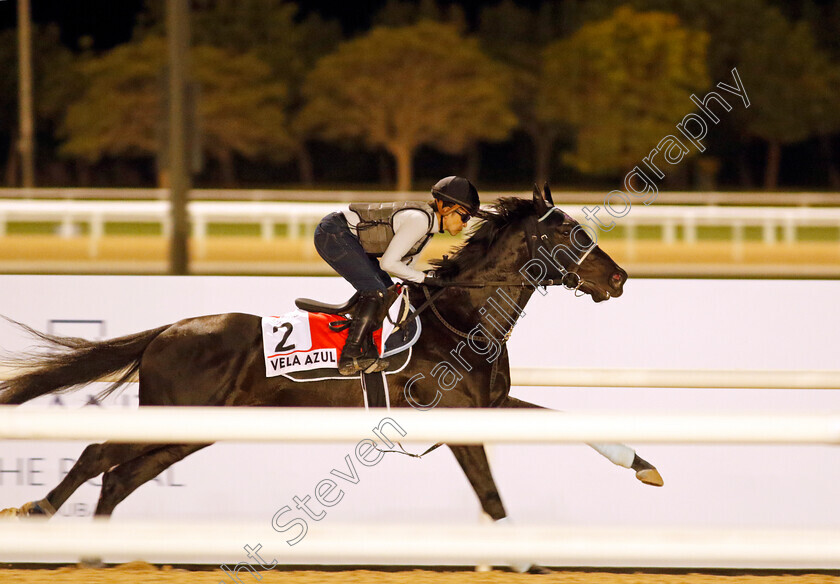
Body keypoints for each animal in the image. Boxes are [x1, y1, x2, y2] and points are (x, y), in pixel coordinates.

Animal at [0, 187, 664, 560]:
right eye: (570, 232)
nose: (619, 278)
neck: (459, 320)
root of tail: (168, 330)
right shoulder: (457, 424)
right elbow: (492, 498)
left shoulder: (493, 408)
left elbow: (573, 425)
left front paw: (644, 465)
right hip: (172, 414)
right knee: (95, 455)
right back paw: (37, 512)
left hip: (192, 430)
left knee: (119, 479)